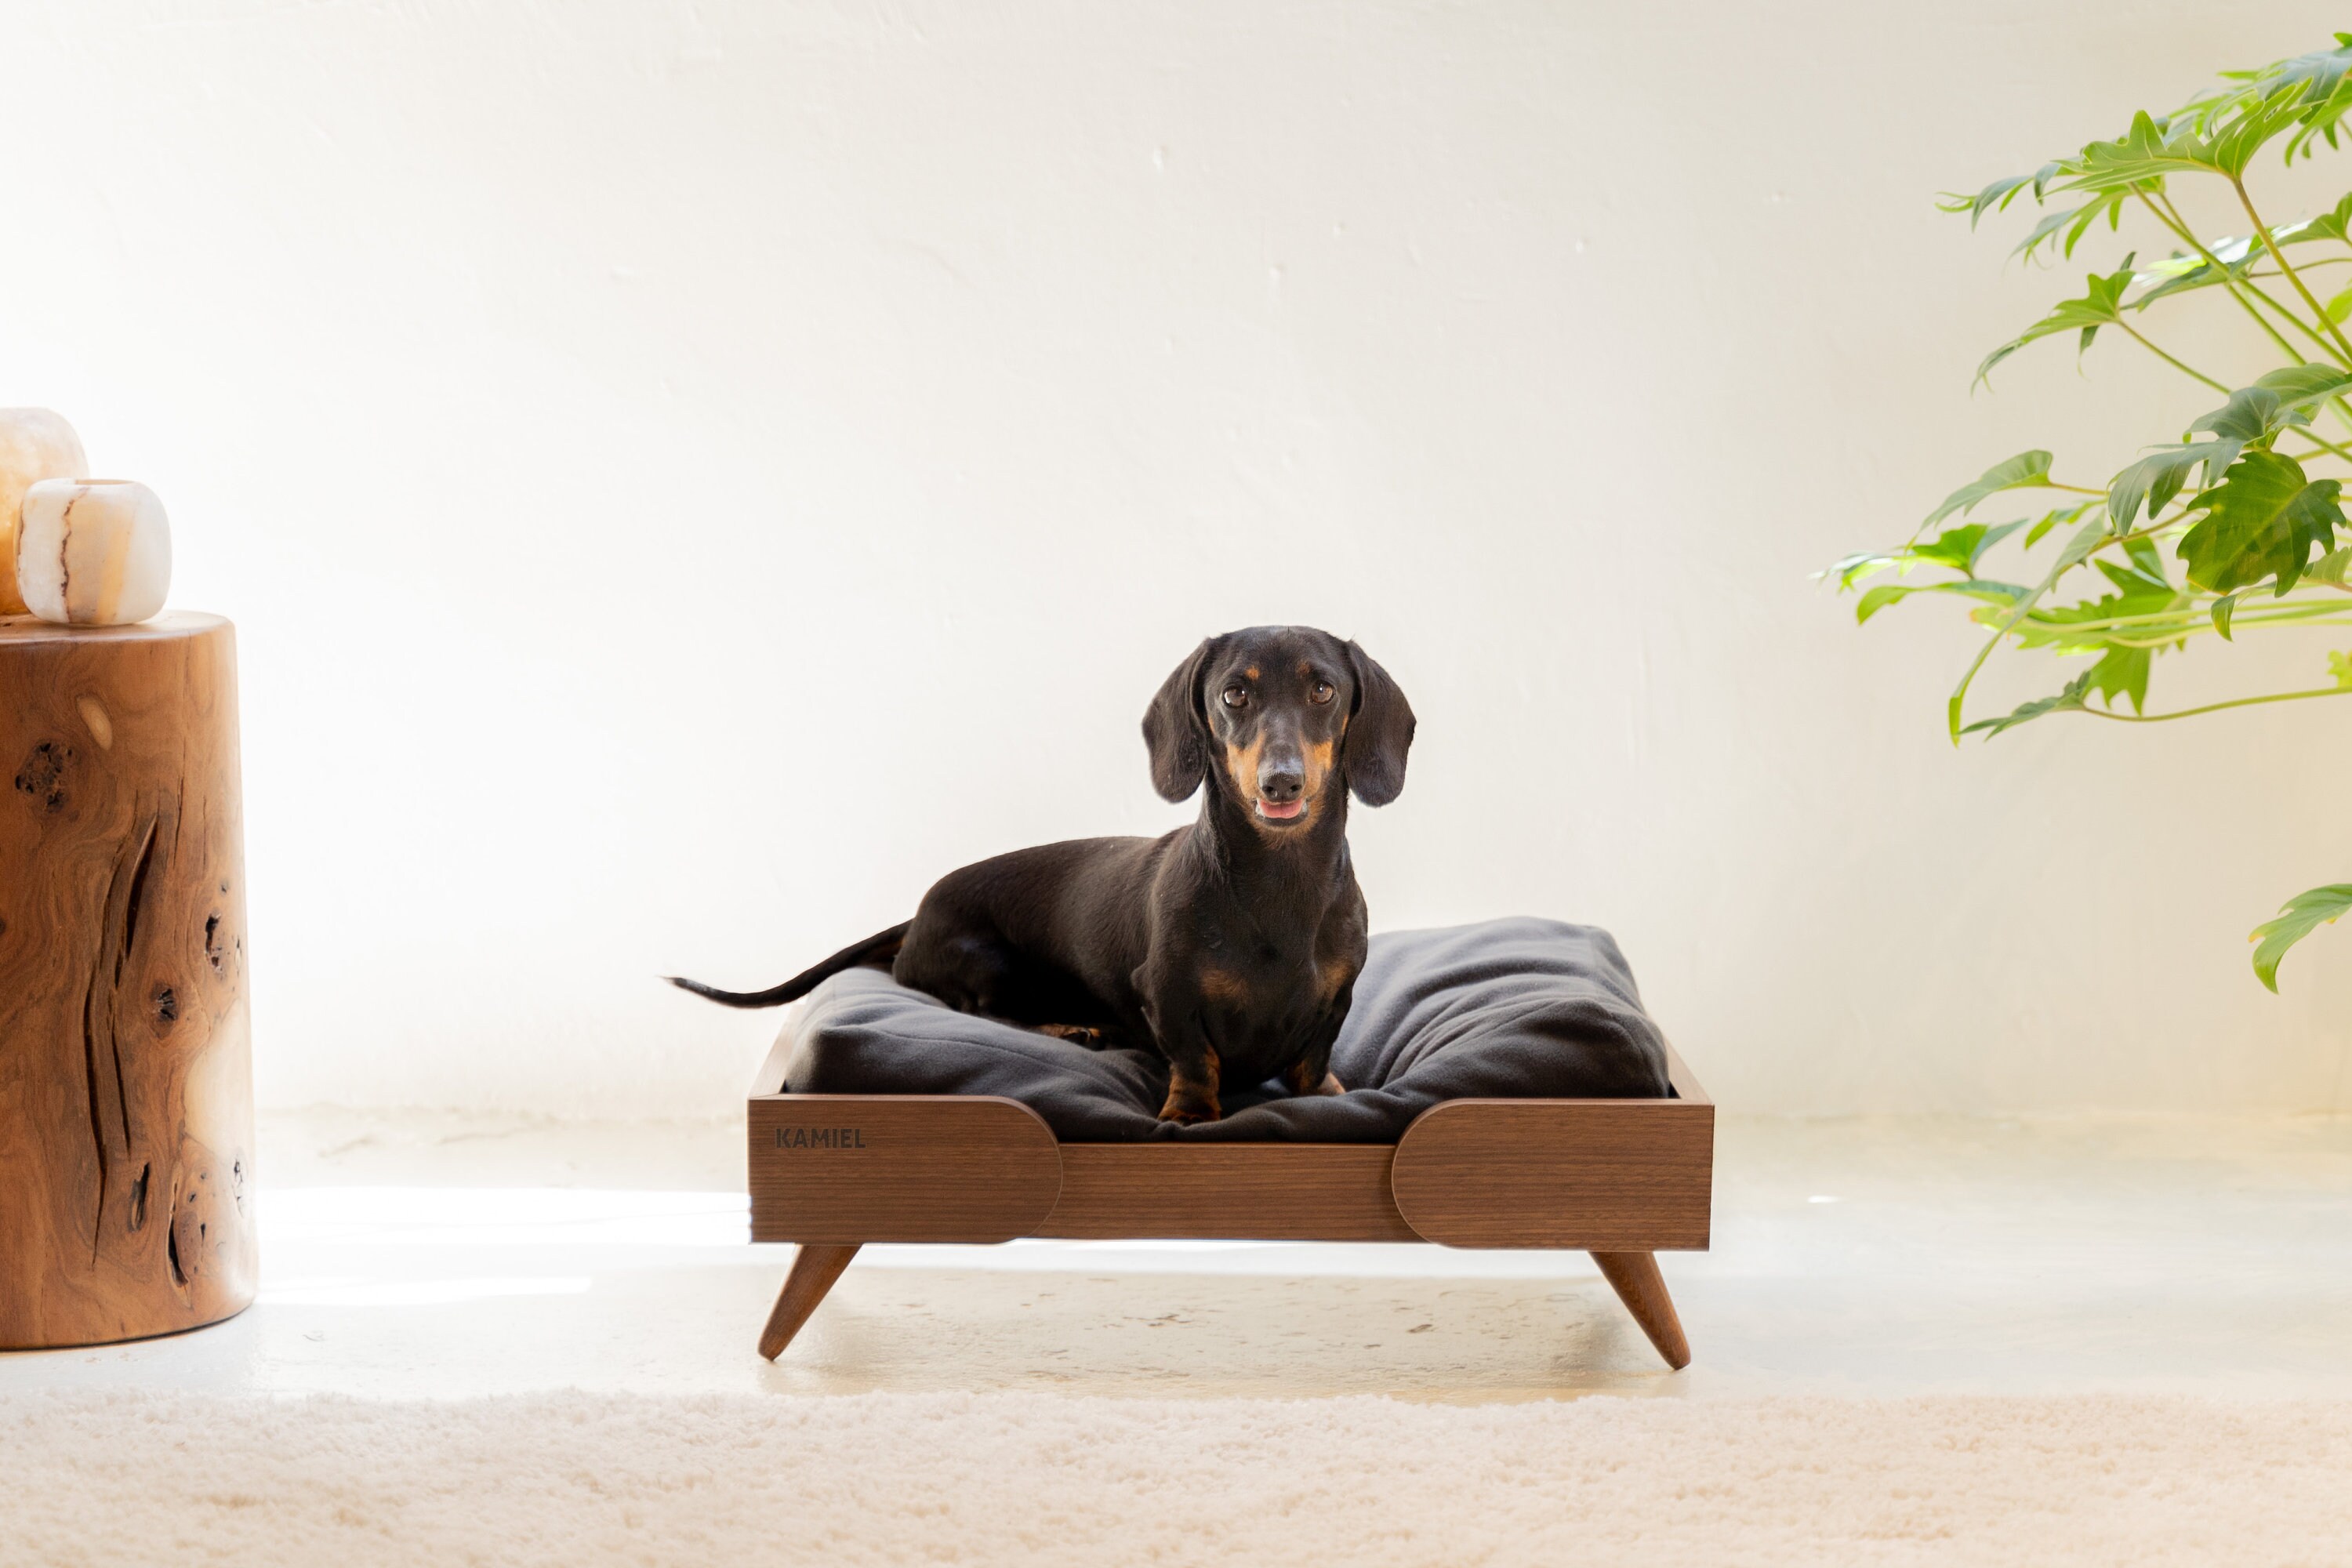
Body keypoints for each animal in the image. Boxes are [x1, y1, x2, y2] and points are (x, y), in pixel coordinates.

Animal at [673, 625, 1421, 1128]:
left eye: (1323, 689)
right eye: (1234, 694)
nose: (1281, 781)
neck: (1277, 885)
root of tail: (914, 919)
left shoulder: (1336, 1000)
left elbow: (1312, 1056)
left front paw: (1326, 1093)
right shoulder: (1167, 994)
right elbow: (1193, 1056)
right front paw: (1189, 1111)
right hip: (988, 960)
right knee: (992, 1013)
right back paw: (1072, 1030)